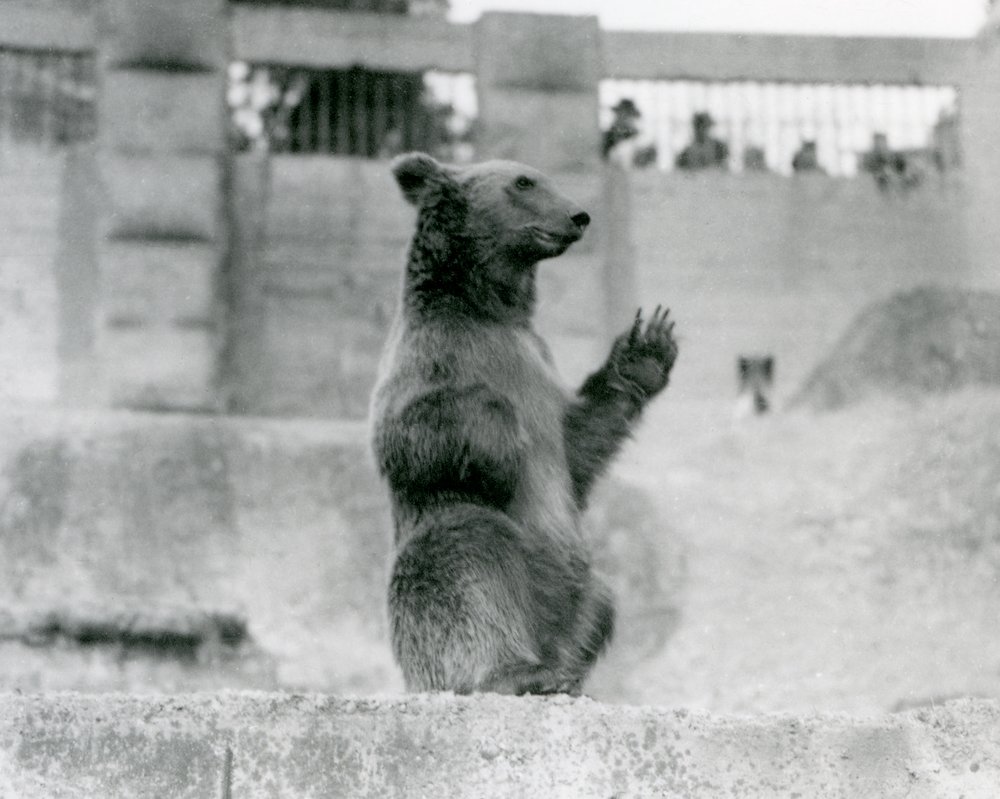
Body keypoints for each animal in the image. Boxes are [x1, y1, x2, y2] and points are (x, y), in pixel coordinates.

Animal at [369, 152, 677, 695]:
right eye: (523, 182)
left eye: (542, 178)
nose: (579, 216)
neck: (491, 309)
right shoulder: (432, 356)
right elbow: (404, 435)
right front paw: (502, 438)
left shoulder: (540, 366)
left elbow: (578, 446)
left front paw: (645, 348)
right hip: (471, 545)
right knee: (468, 559)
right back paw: (517, 672)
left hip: (574, 588)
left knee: (598, 605)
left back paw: (564, 672)